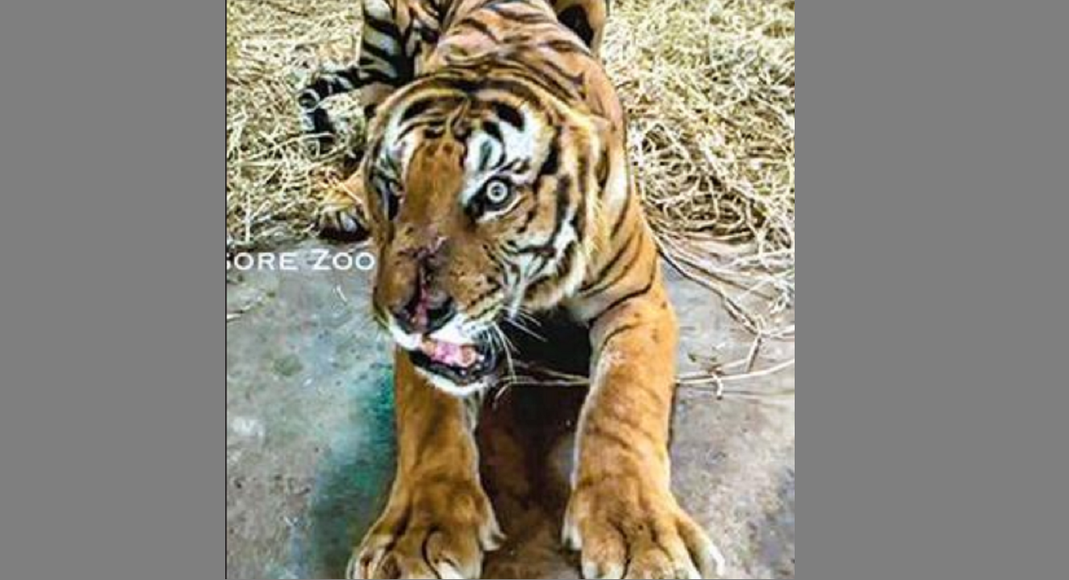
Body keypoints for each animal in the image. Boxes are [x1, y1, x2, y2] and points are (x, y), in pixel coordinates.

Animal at [299, 1, 724, 578]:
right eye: (394, 189)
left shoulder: (636, 301)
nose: (409, 314)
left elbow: (622, 402)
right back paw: (342, 199)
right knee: (370, 120)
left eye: (495, 193)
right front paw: (416, 538)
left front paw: (637, 536)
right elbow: (430, 417)